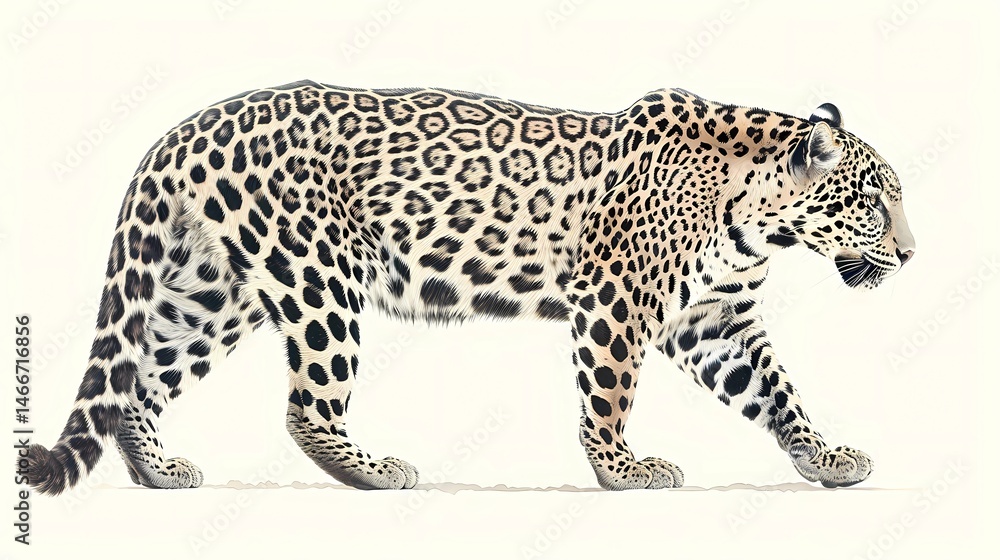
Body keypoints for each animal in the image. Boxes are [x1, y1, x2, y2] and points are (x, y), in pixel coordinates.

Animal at [23, 80, 915, 494]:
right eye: (874, 200)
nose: (910, 255)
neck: (755, 213)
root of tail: (186, 127)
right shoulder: (616, 299)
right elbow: (610, 393)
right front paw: (622, 471)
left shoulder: (715, 317)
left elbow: (776, 388)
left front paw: (824, 457)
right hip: (320, 278)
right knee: (305, 406)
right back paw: (373, 471)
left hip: (213, 290)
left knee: (139, 380)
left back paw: (156, 471)